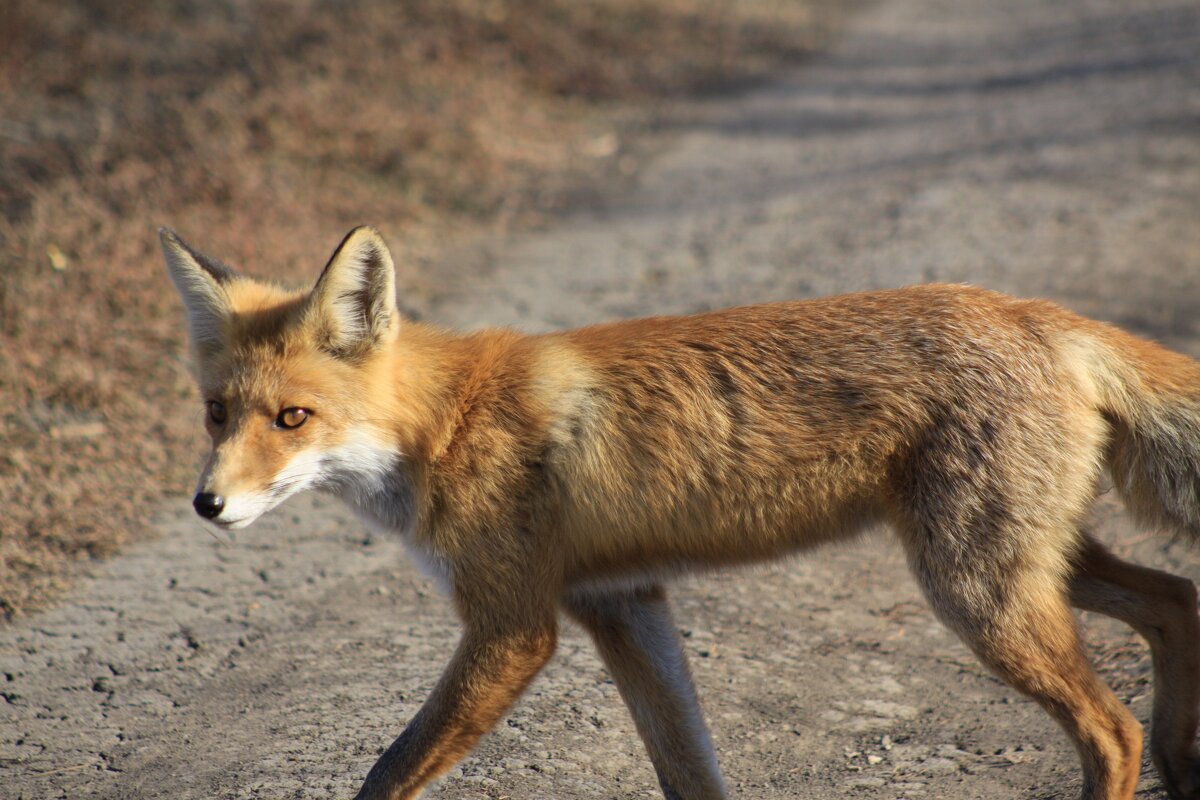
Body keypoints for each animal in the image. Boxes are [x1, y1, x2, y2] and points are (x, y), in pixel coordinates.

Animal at [159, 225, 1200, 800]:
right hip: (1034, 566)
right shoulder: (624, 604)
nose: (208, 505)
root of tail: (1035, 313)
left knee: (1113, 729)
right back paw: (1184, 767)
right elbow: (690, 772)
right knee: (1175, 602)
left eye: (292, 419)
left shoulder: (514, 627)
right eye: (216, 413)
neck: (449, 422)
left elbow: (386, 772)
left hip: (975, 588)